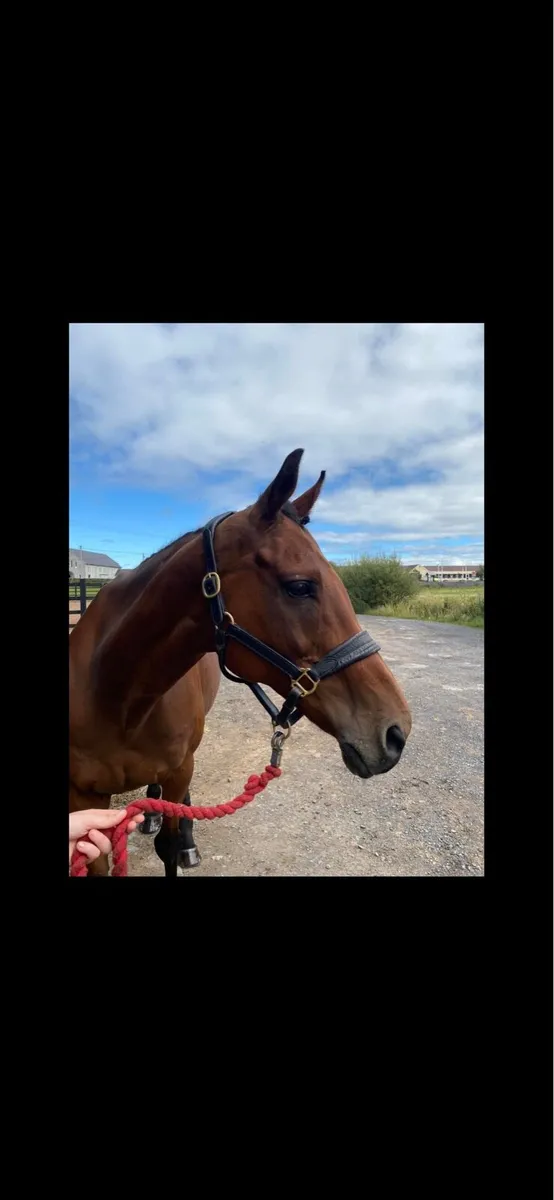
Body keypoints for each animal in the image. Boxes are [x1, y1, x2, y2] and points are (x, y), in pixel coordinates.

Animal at [69, 448, 412, 876]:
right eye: (300, 586)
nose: (396, 732)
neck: (117, 694)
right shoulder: (84, 798)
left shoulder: (179, 769)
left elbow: (169, 844)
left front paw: (180, 840)